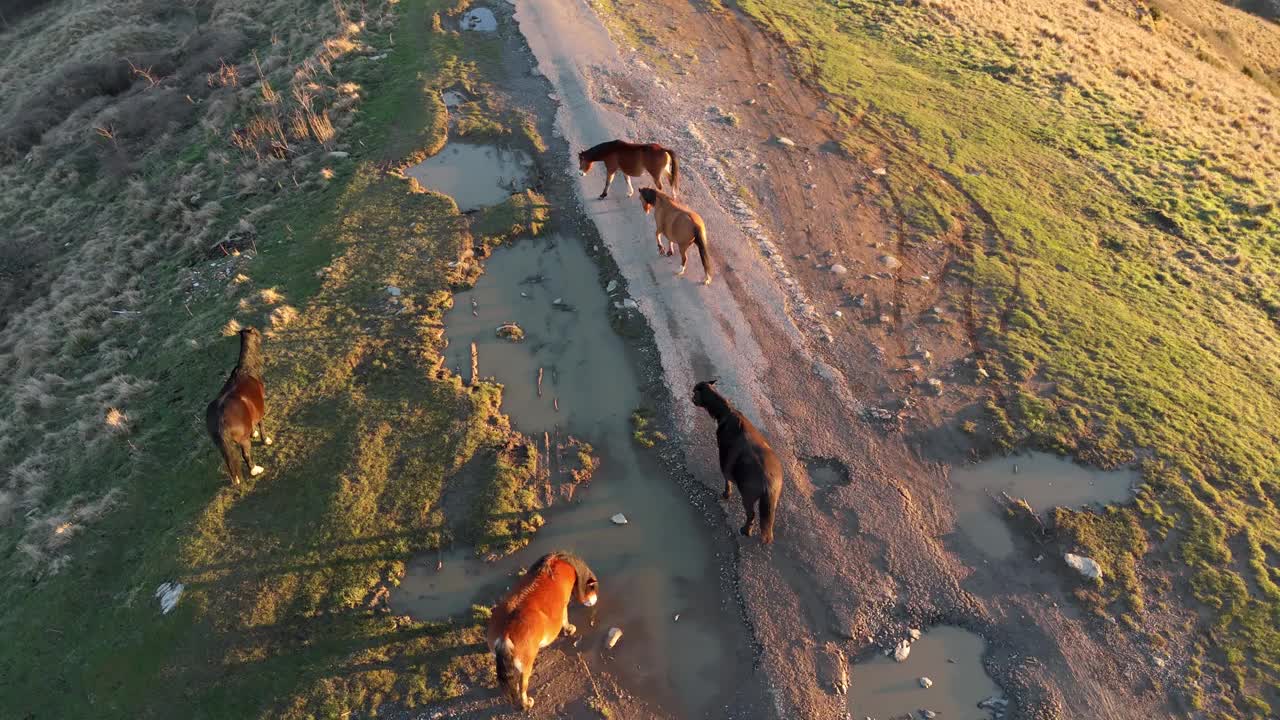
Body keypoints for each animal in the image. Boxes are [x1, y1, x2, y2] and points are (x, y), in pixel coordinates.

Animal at [203, 325, 271, 481]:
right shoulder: (260, 410)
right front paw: (265, 439)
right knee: (245, 455)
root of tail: (220, 420)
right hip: (243, 442)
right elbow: (262, 425)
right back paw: (255, 470)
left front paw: (254, 432)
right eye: (257, 332)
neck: (246, 370)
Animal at [483, 548, 599, 707]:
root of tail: (505, 635)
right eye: (592, 588)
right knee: (522, 687)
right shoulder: (564, 604)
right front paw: (569, 629)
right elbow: (565, 617)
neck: (565, 563)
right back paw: (527, 703)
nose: (595, 600)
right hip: (526, 666)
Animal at [691, 379, 778, 540]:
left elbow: (727, 479)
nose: (691, 398)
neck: (726, 411)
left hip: (748, 495)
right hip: (772, 501)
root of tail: (768, 482)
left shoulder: (724, 457)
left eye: (694, 392)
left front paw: (726, 494)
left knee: (751, 515)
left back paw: (746, 531)